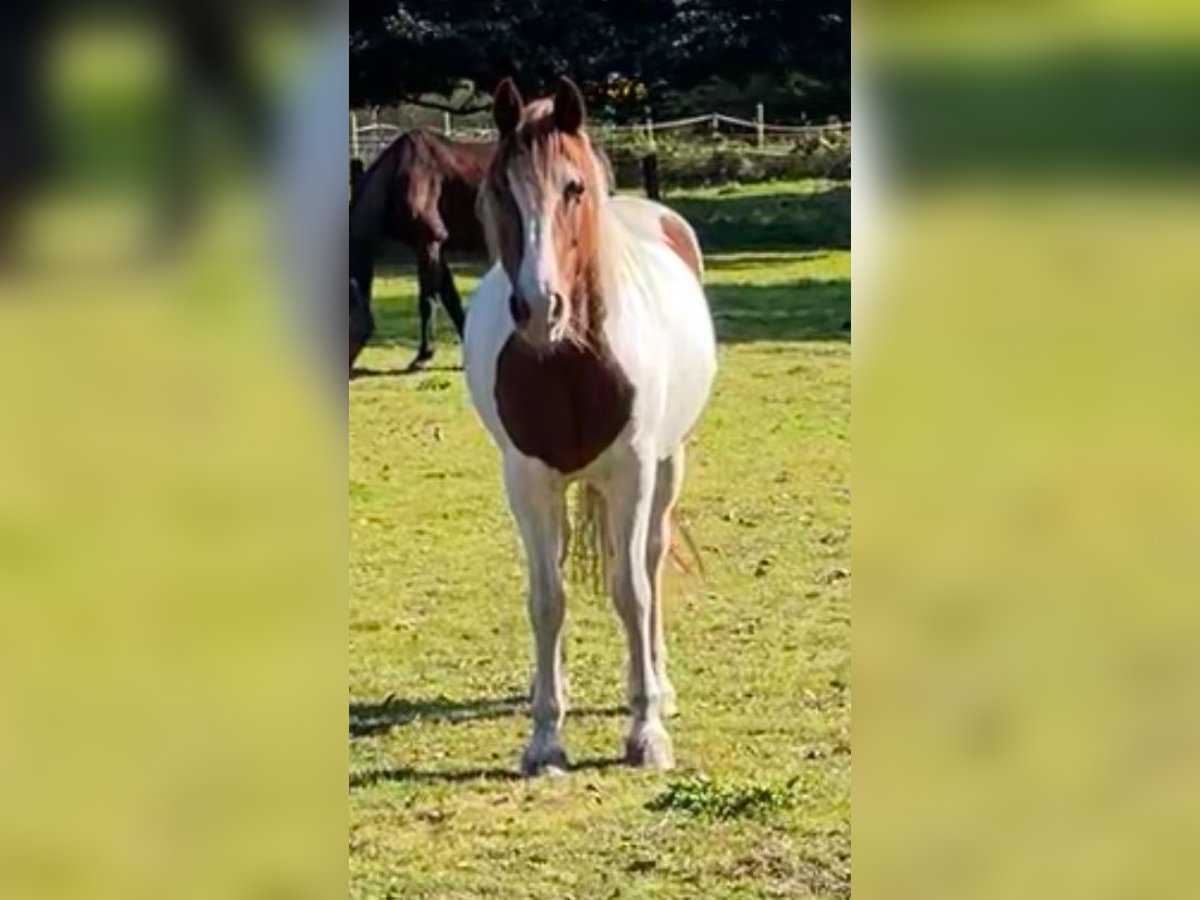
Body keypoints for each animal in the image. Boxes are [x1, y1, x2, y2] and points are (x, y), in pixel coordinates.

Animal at [349, 129, 494, 372]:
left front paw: (423, 356)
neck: (398, 174)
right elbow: (450, 299)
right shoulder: (435, 248)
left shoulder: (428, 242)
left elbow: (428, 299)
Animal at [464, 78, 716, 775]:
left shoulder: (632, 471)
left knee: (650, 562)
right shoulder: (527, 480)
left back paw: (660, 681)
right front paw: (545, 738)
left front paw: (646, 732)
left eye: (573, 188)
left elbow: (631, 589)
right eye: (501, 190)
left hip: (667, 467)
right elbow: (546, 599)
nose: (537, 307)